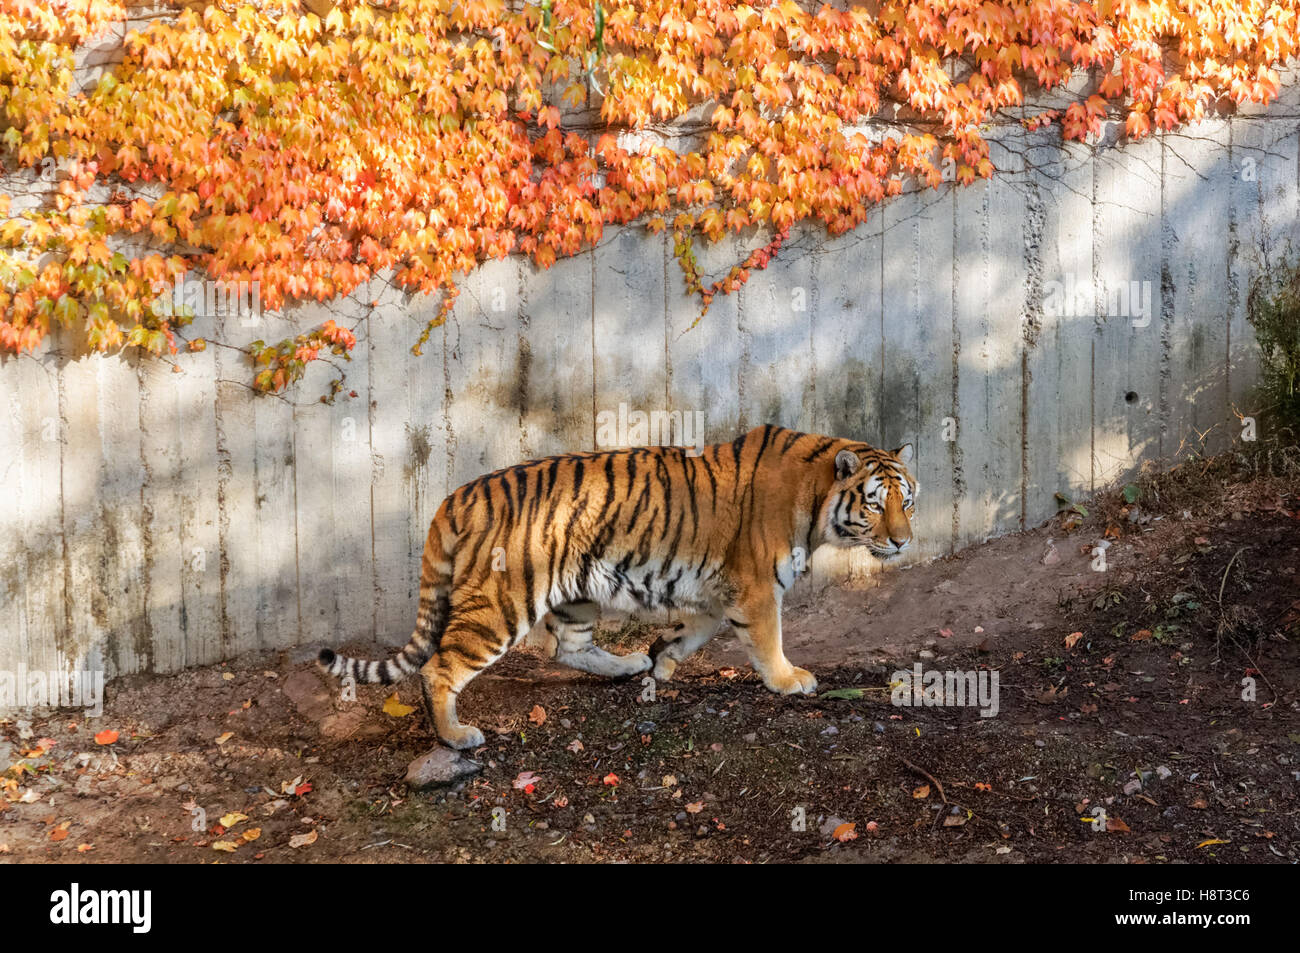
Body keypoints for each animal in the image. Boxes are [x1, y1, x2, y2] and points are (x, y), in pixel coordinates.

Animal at [319, 424, 917, 750]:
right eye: (873, 504)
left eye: (906, 502)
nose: (904, 541)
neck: (815, 500)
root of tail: (454, 496)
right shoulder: (753, 587)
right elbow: (767, 640)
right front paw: (790, 680)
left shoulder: (715, 589)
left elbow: (697, 631)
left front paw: (664, 658)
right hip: (500, 604)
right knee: (439, 669)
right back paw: (456, 736)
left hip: (577, 592)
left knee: (568, 648)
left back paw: (630, 665)